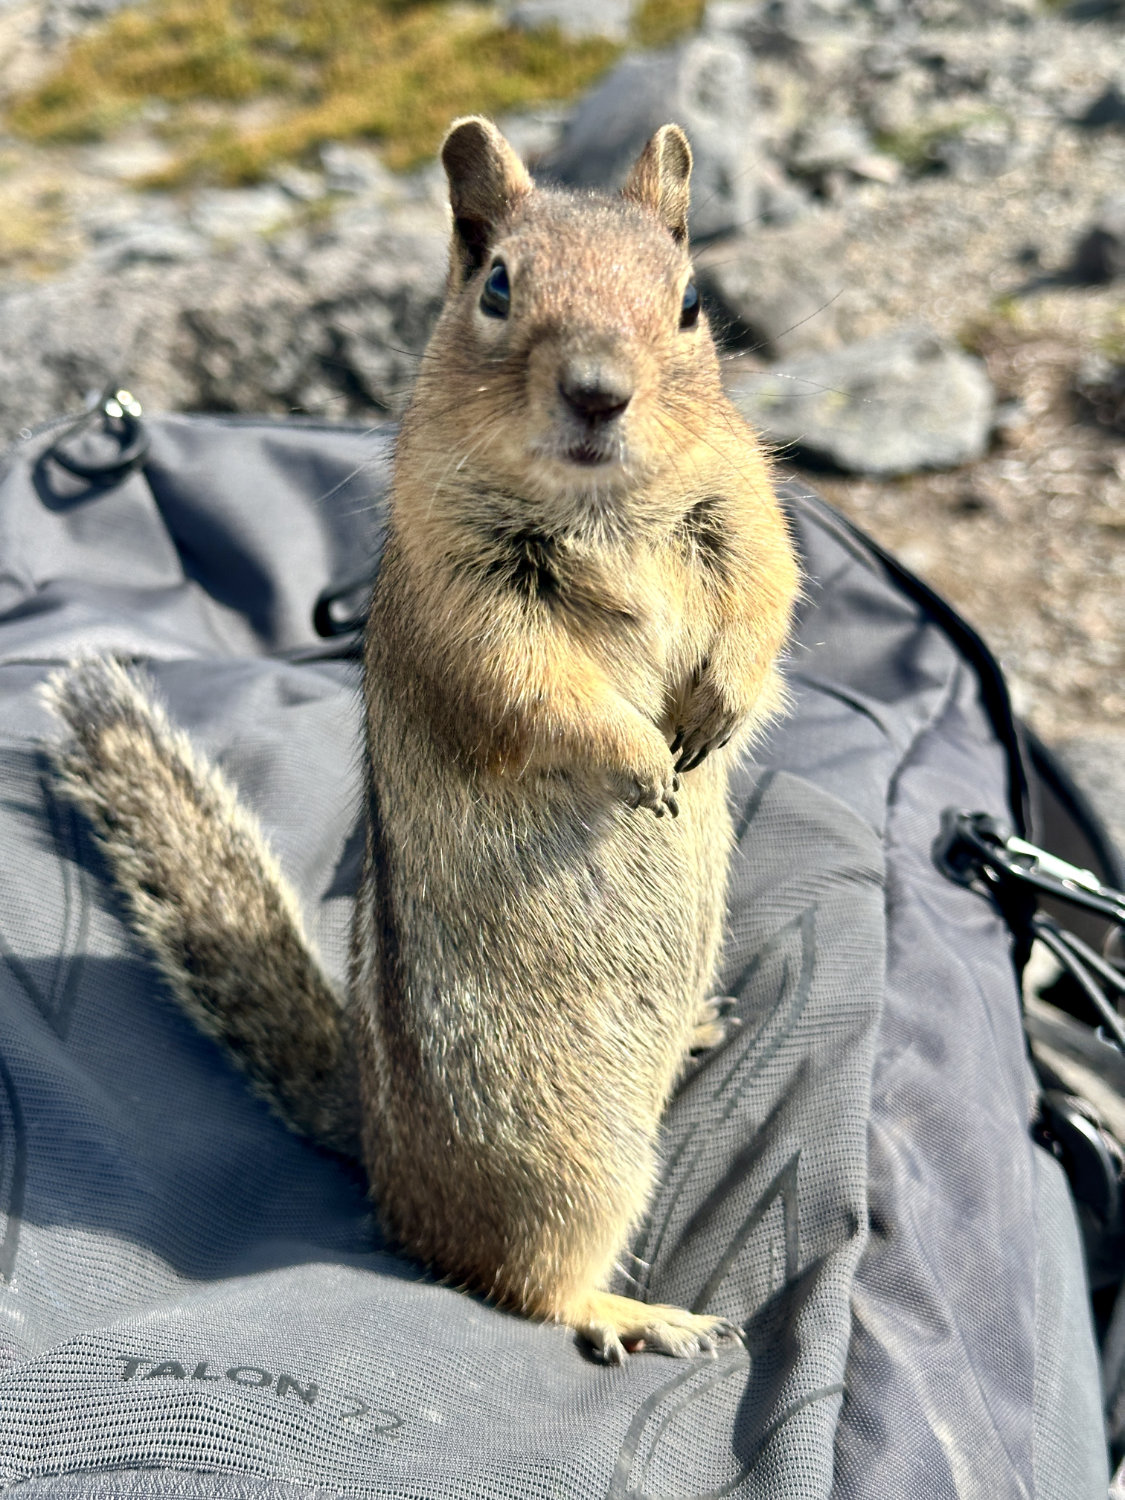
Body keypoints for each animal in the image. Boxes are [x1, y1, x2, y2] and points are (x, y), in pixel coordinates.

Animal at [46, 114, 804, 1362]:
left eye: (691, 301)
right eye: (498, 286)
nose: (599, 393)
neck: (604, 511)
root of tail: (384, 1158)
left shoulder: (742, 504)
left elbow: (764, 602)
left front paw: (716, 712)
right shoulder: (463, 598)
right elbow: (533, 693)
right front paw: (642, 762)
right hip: (562, 1156)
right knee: (526, 1280)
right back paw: (637, 1313)